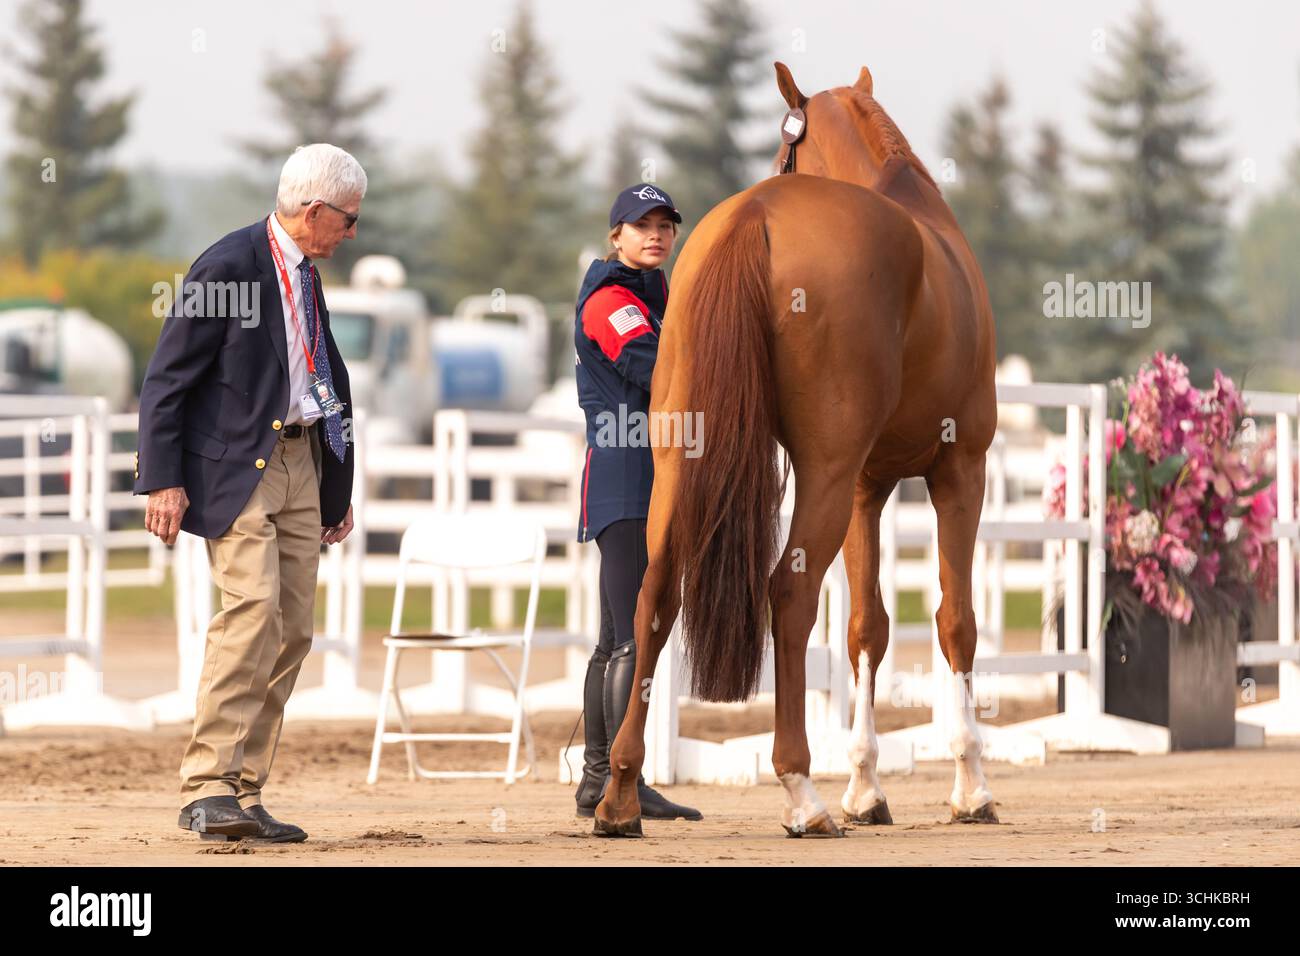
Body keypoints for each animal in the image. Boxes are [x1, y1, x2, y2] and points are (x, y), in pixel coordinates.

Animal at [593, 63, 999, 838]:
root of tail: (756, 215)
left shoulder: (870, 486)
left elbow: (868, 628)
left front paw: (866, 788)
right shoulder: (959, 472)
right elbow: (955, 622)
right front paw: (970, 787)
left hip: (683, 465)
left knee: (655, 595)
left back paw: (621, 796)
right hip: (827, 477)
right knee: (789, 594)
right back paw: (801, 792)